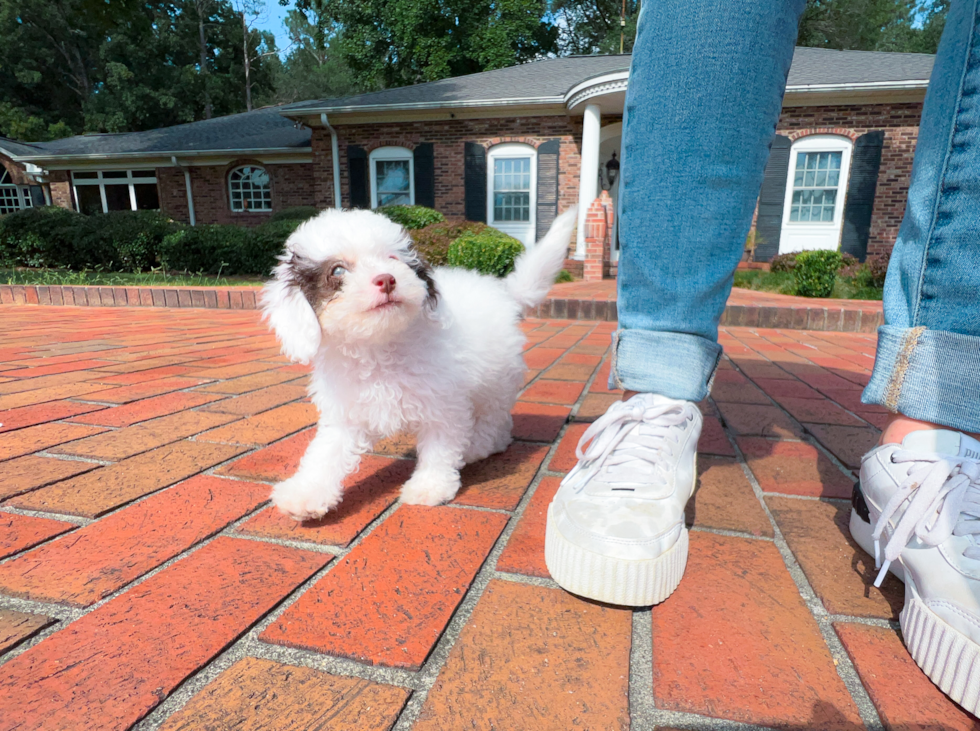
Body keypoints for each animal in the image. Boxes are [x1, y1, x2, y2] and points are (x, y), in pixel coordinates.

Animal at [264, 206, 580, 520]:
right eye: (338, 270)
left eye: (393, 259)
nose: (387, 279)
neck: (379, 349)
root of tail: (502, 292)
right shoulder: (346, 412)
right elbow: (326, 453)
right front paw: (306, 492)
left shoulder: (444, 405)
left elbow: (440, 448)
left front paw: (430, 486)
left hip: (496, 378)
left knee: (493, 416)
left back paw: (479, 445)